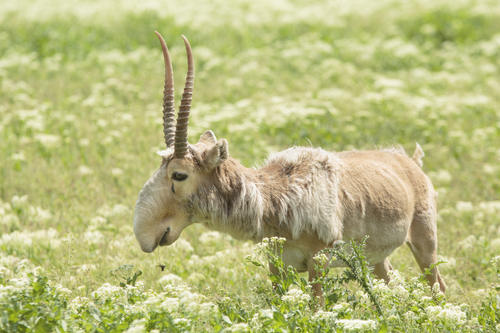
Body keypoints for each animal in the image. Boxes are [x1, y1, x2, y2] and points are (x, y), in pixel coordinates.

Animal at [132, 32, 446, 300]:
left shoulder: (318, 261)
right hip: (376, 259)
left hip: (424, 243)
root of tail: (409, 162)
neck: (277, 193)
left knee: (438, 286)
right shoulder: (277, 264)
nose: (145, 236)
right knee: (389, 281)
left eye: (179, 174)